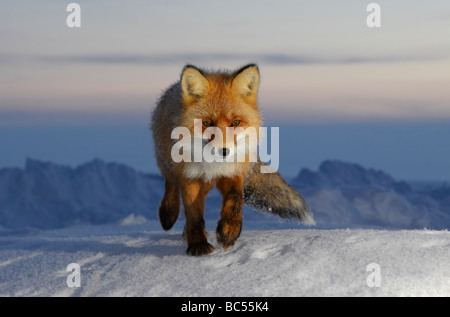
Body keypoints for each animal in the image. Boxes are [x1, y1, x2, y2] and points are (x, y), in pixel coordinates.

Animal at [151, 63, 312, 254]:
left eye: (235, 122)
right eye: (207, 123)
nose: (224, 151)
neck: (214, 166)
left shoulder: (234, 172)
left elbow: (235, 200)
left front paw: (229, 231)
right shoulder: (190, 176)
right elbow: (194, 215)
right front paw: (198, 245)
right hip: (167, 162)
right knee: (170, 184)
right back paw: (168, 213)